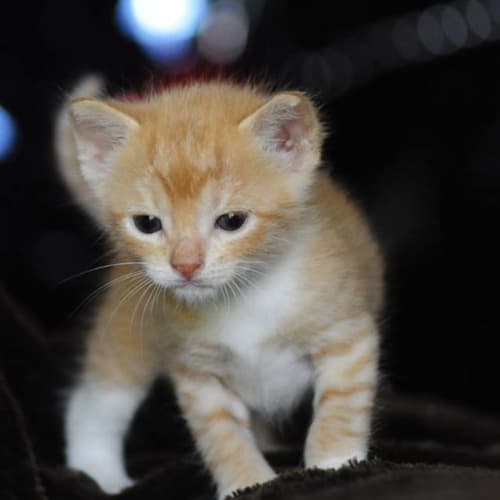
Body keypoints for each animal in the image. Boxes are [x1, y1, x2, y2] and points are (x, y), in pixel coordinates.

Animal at [56, 76, 382, 498]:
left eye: (232, 221)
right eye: (147, 224)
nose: (185, 265)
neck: (246, 295)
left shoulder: (346, 331)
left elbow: (342, 400)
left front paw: (334, 462)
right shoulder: (197, 372)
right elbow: (222, 435)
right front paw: (248, 482)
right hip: (126, 331)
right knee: (96, 402)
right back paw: (99, 474)